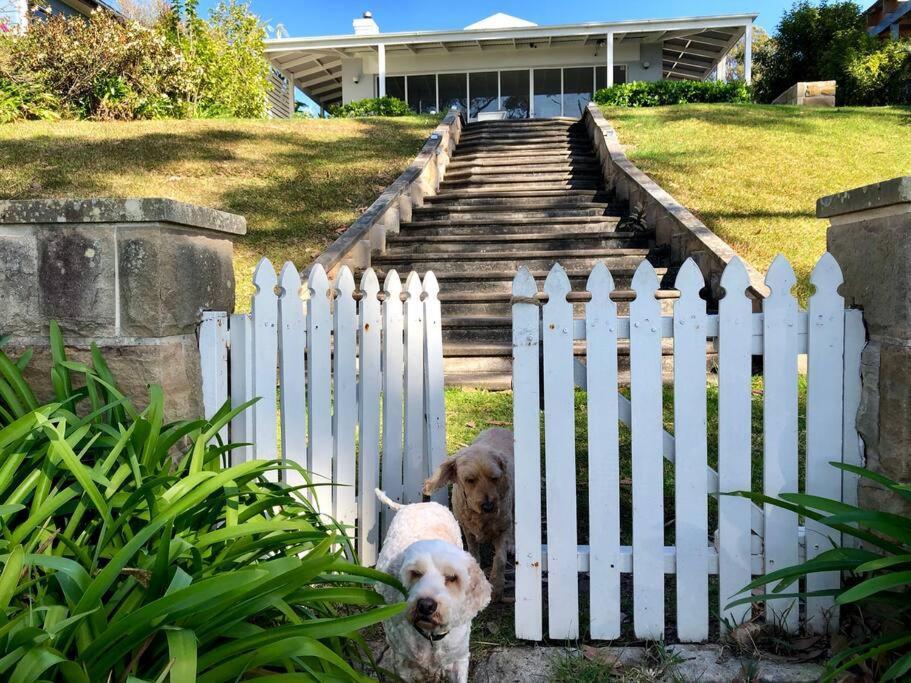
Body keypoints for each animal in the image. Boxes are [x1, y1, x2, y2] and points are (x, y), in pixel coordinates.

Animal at [376, 488, 496, 680]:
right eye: (415, 573)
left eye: (452, 577)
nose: (426, 605)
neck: (431, 637)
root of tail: (417, 504)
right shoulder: (403, 666)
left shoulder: (459, 661)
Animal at [426, 430, 516, 600]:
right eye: (470, 480)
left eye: (494, 478)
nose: (488, 506)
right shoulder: (467, 529)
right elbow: (473, 551)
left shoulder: (502, 528)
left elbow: (500, 559)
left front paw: (497, 585)